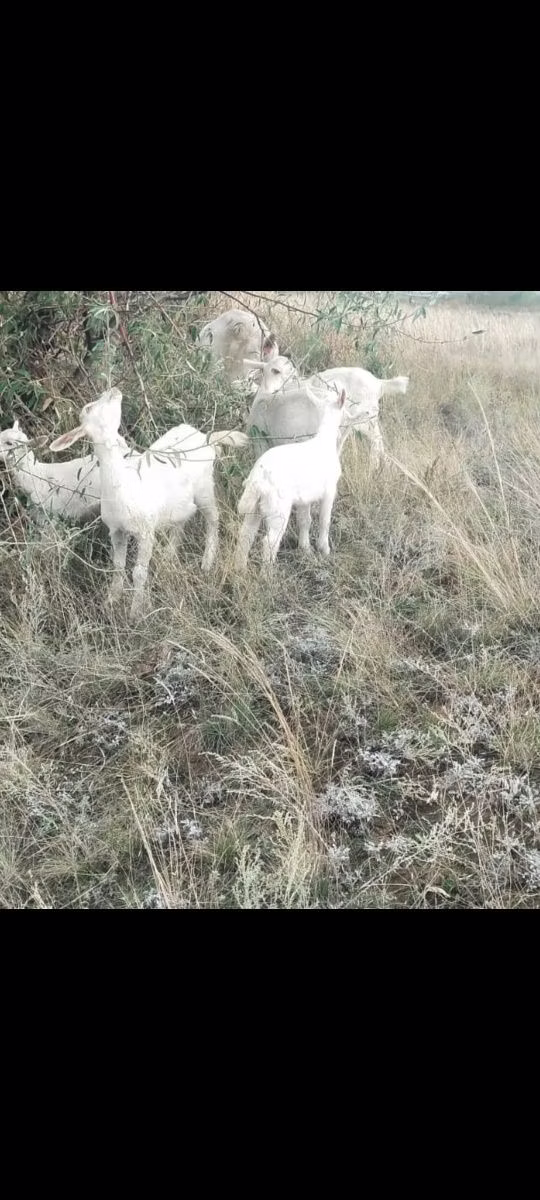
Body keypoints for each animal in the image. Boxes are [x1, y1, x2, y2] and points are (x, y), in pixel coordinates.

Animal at [50, 388, 248, 618]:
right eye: (88, 408)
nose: (114, 390)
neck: (123, 483)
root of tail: (204, 436)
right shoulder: (116, 530)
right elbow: (118, 566)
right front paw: (111, 600)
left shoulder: (146, 531)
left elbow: (139, 573)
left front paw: (136, 612)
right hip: (179, 503)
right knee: (183, 519)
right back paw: (170, 557)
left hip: (205, 488)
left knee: (214, 519)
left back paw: (207, 562)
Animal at [235, 388, 346, 570]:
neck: (324, 440)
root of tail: (257, 480)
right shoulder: (330, 490)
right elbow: (325, 520)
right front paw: (324, 549)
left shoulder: (304, 497)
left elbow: (305, 520)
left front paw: (305, 548)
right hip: (278, 508)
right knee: (269, 542)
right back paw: (268, 573)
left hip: (254, 507)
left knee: (245, 534)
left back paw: (240, 569)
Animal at [244, 355, 409, 466]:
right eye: (279, 371)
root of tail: (379, 383)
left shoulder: (261, 438)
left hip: (366, 420)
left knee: (376, 440)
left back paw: (374, 465)